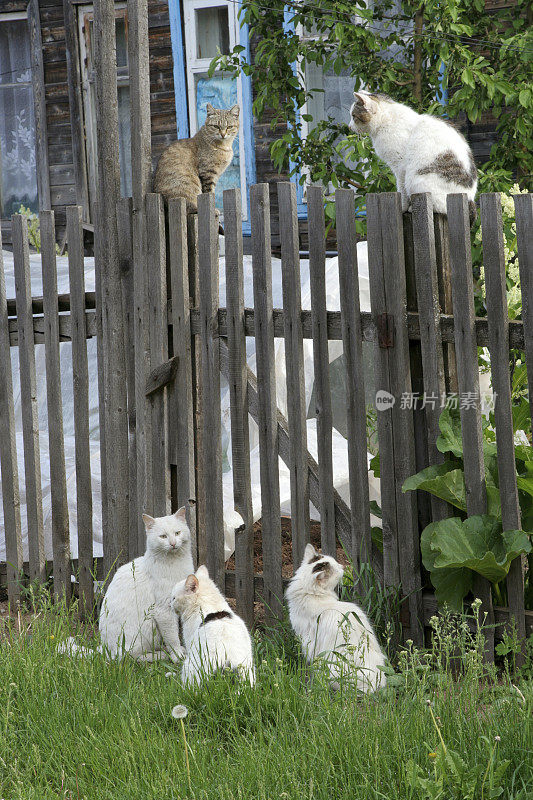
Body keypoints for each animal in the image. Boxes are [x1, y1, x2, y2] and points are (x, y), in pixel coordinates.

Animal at [97, 510, 193, 660]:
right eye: (163, 536)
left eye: (177, 533)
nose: (172, 543)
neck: (175, 562)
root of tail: (106, 651)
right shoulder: (164, 609)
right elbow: (172, 637)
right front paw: (177, 654)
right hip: (145, 629)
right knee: (132, 657)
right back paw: (162, 655)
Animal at [286, 544, 386, 692]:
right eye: (337, 569)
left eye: (337, 564)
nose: (342, 566)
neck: (310, 594)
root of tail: (374, 683)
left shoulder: (308, 642)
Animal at [350, 90, 478, 225]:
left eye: (353, 116)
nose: (349, 126)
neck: (385, 121)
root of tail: (470, 199)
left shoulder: (400, 167)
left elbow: (402, 190)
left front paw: (402, 208)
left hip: (416, 180)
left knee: (440, 208)